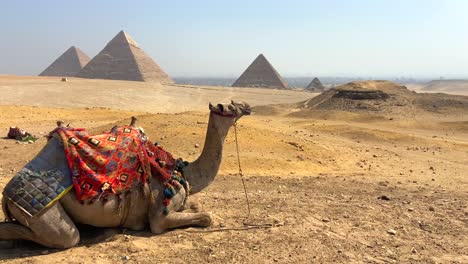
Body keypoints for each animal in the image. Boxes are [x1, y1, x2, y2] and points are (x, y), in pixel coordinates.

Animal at [0, 100, 252, 248]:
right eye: (231, 107)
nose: (247, 105)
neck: (182, 172)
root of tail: (6, 196)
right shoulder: (159, 214)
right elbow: (206, 217)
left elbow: (196, 206)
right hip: (43, 215)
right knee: (65, 237)